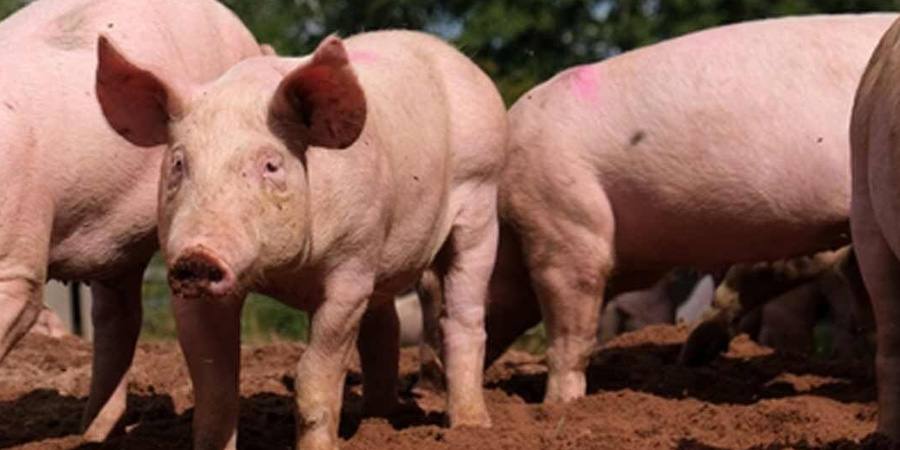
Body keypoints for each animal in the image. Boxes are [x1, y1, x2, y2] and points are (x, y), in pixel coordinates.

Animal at [95, 30, 507, 449]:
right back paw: (377, 420)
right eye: (179, 163)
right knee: (383, 326)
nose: (197, 256)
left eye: (271, 165)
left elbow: (314, 376)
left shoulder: (351, 268)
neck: (285, 273)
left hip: (480, 198)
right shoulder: (194, 294)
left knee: (462, 318)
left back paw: (471, 427)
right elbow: (214, 389)